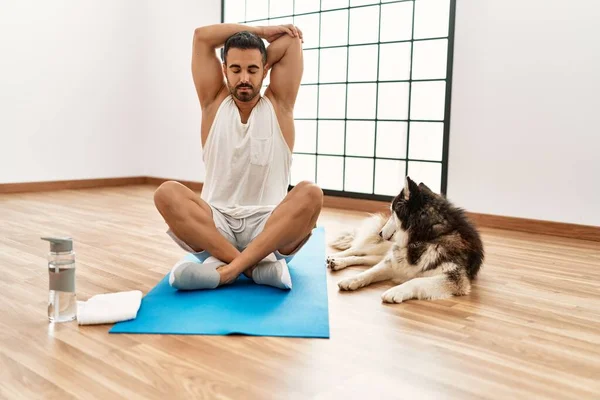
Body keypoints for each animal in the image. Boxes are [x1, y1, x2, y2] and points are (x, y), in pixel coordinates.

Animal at [326, 176, 486, 304]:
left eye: (393, 213)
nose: (380, 233)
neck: (425, 236)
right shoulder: (394, 262)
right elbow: (370, 272)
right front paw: (352, 280)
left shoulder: (456, 279)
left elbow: (416, 280)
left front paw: (395, 291)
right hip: (385, 248)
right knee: (358, 250)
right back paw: (335, 257)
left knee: (365, 257)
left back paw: (337, 262)